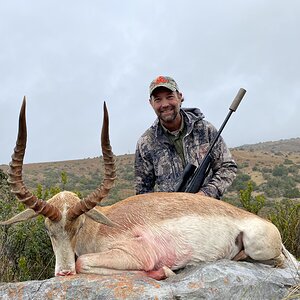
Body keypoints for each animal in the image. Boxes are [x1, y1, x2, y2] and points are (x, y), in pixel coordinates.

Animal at [1, 97, 298, 280]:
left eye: (79, 224)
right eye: (48, 229)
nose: (63, 273)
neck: (98, 227)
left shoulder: (134, 255)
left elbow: (83, 262)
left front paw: (162, 272)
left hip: (257, 245)